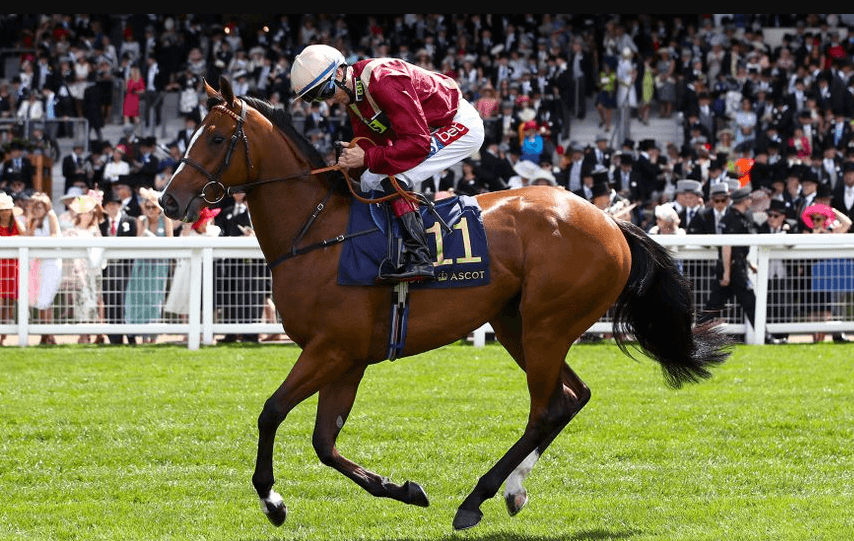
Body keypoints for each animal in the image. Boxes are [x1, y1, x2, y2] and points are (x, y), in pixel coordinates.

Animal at [159, 76, 730, 531]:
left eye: (215, 138)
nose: (169, 200)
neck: (318, 233)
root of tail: (608, 221)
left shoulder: (330, 349)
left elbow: (271, 413)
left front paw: (272, 500)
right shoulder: (347, 358)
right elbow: (325, 442)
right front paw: (404, 490)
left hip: (547, 324)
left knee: (546, 409)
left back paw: (476, 499)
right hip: (516, 324)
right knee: (572, 397)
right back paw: (513, 490)